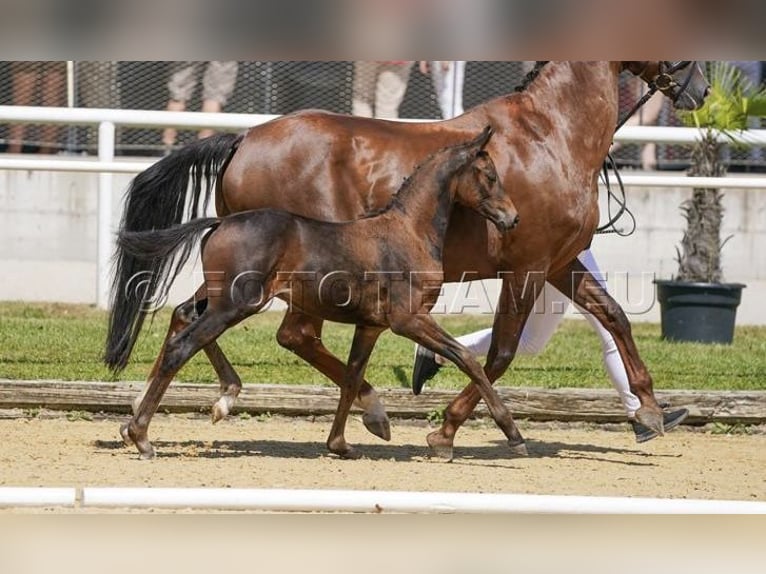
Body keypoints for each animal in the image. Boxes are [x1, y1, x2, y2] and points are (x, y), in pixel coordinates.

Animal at [117, 127, 520, 464]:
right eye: (490, 176)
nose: (512, 218)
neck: (409, 231)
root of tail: (221, 222)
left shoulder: (370, 326)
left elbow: (352, 377)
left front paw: (343, 442)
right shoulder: (409, 320)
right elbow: (466, 357)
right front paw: (511, 432)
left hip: (220, 300)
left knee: (184, 318)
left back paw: (201, 403)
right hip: (235, 305)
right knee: (183, 345)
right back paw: (142, 436)